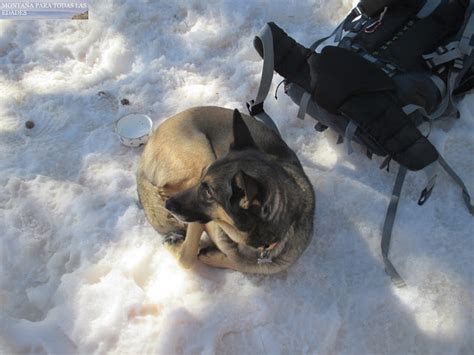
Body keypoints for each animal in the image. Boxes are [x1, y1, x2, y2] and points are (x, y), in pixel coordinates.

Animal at [137, 107, 314, 274]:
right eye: (203, 178)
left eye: (209, 193)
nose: (168, 205)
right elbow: (186, 258)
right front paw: (178, 244)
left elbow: (238, 262)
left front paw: (212, 255)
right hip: (201, 157)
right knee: (163, 189)